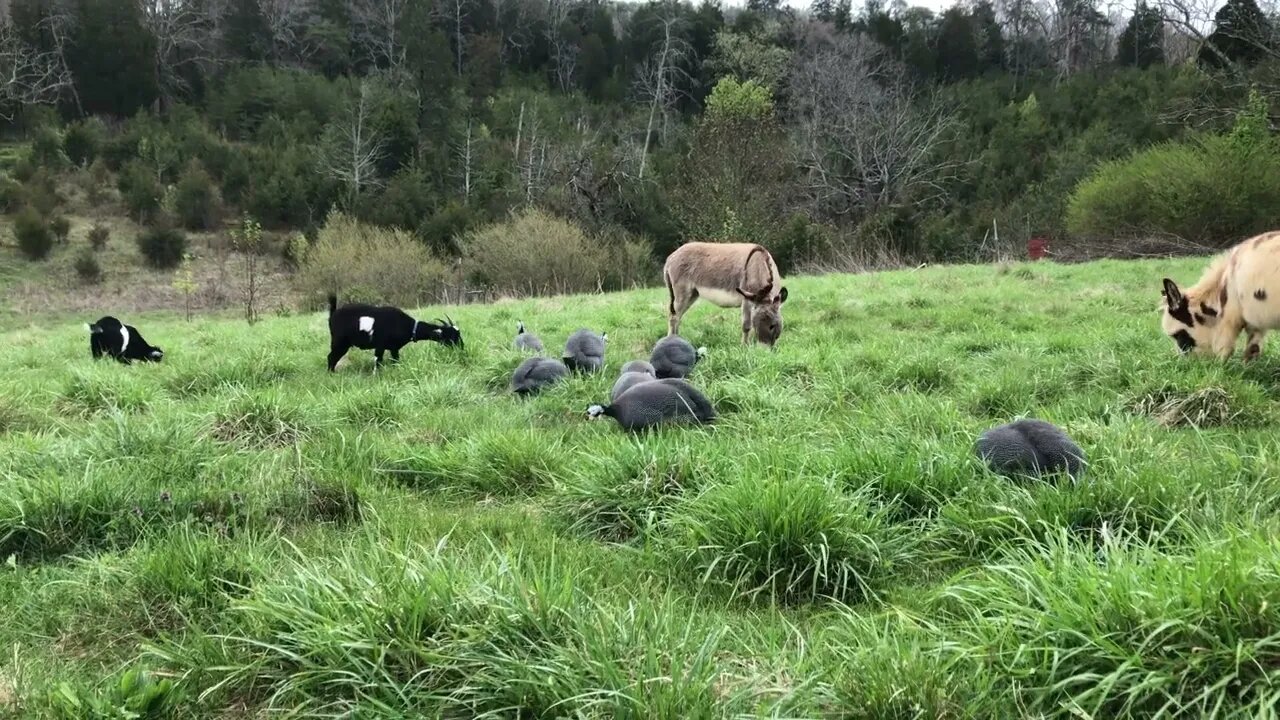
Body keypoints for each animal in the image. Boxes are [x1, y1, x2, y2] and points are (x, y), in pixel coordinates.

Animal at [327, 293, 463, 368]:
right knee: (331, 357)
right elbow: (378, 361)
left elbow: (396, 361)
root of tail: (333, 314)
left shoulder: (394, 348)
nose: (461, 348)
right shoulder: (380, 345)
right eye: (452, 336)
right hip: (339, 341)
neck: (408, 327)